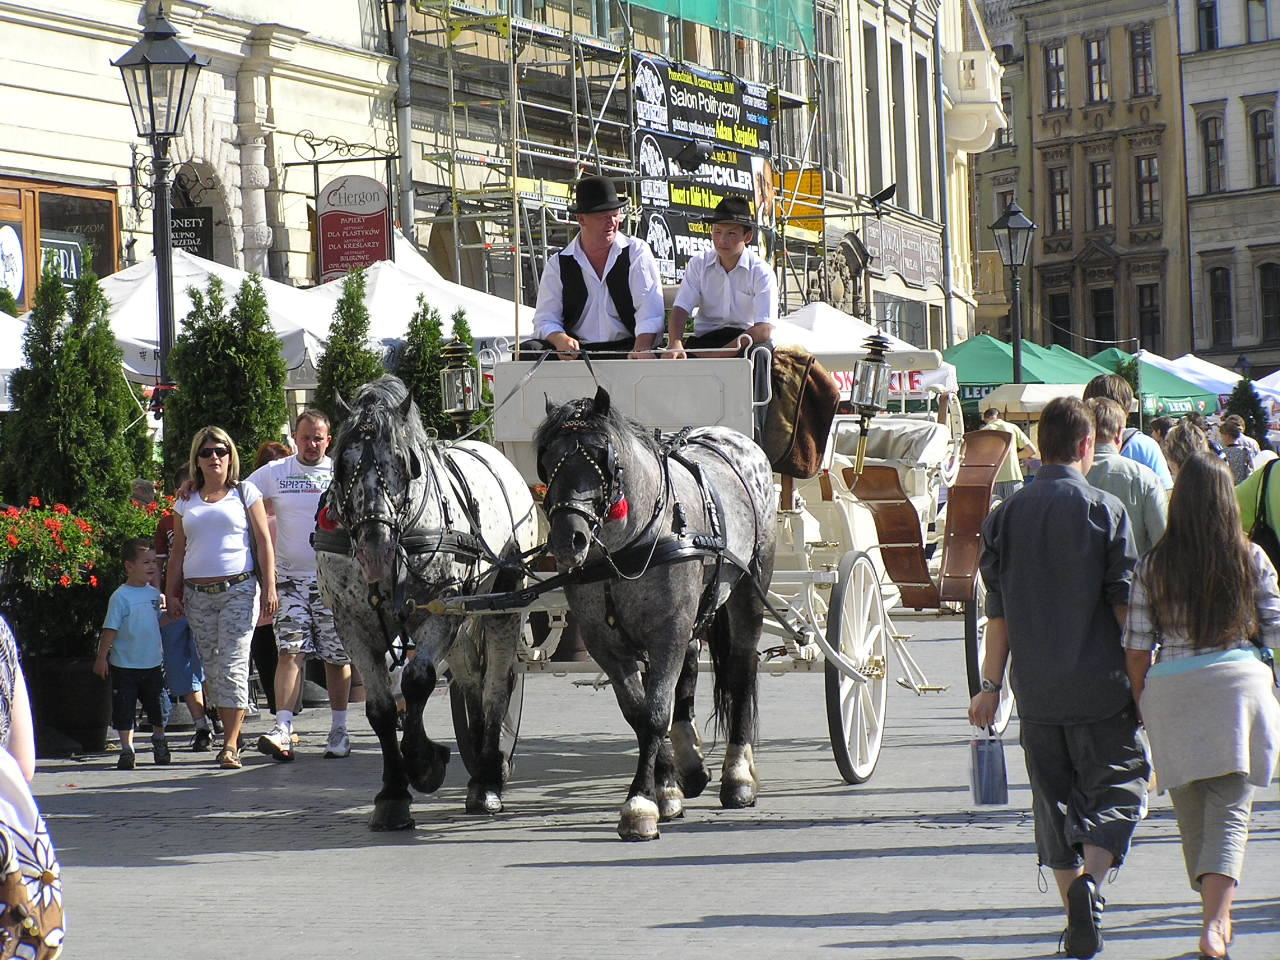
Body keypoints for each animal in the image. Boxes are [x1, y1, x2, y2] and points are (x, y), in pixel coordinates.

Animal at [322, 378, 542, 829]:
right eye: (340, 466)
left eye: (406, 463)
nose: (376, 551)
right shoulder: (352, 623)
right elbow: (381, 708)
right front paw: (392, 794)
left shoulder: (439, 612)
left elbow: (417, 680)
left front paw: (425, 763)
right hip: (466, 617)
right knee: (471, 680)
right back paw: (478, 761)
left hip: (502, 605)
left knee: (496, 685)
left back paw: (488, 778)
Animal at [535, 386, 773, 839]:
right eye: (545, 458)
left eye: (601, 453)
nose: (568, 538)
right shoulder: (606, 644)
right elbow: (640, 713)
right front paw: (665, 790)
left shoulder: (668, 631)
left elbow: (656, 711)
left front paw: (640, 804)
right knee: (691, 671)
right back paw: (691, 766)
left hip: (748, 591)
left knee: (741, 669)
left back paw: (738, 776)